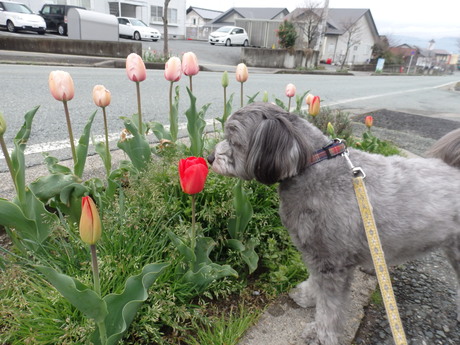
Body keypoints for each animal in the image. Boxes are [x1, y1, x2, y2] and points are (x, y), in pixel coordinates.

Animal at [208, 102, 460, 344]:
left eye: (235, 141)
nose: (209, 158)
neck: (310, 165)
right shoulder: (315, 253)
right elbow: (315, 282)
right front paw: (306, 296)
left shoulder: (333, 263)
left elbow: (330, 307)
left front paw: (321, 335)